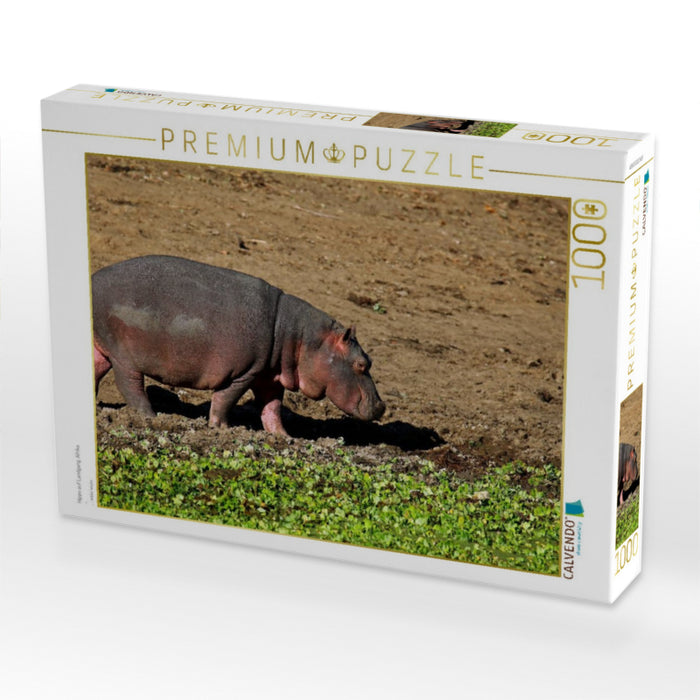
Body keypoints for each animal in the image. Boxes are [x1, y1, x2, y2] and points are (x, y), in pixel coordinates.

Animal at [91, 255, 385, 435]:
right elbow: (225, 400)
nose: (382, 406)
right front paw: (221, 429)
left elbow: (272, 408)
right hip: (124, 356)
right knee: (131, 387)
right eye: (361, 364)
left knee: (95, 371)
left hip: (102, 349)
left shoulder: (270, 375)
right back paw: (152, 418)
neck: (300, 337)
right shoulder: (245, 372)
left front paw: (284, 437)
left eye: (370, 360)